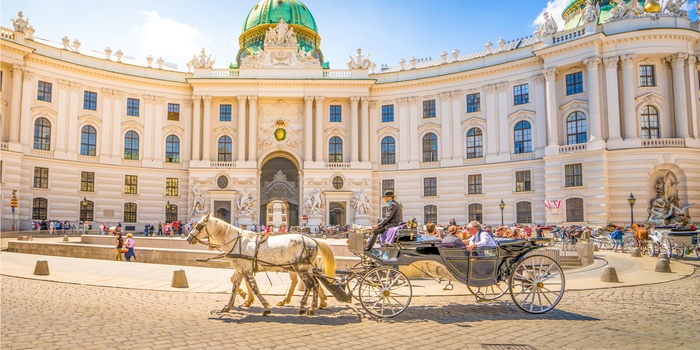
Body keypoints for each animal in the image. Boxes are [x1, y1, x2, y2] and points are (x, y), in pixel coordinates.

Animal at [187, 215, 334, 316]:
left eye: (198, 225)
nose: (188, 238)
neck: (237, 242)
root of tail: (313, 240)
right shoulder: (240, 271)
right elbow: (234, 288)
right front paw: (228, 306)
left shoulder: (246, 271)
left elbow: (255, 288)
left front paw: (266, 307)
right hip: (305, 268)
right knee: (315, 284)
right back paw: (311, 306)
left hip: (300, 268)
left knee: (310, 284)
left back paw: (307, 307)